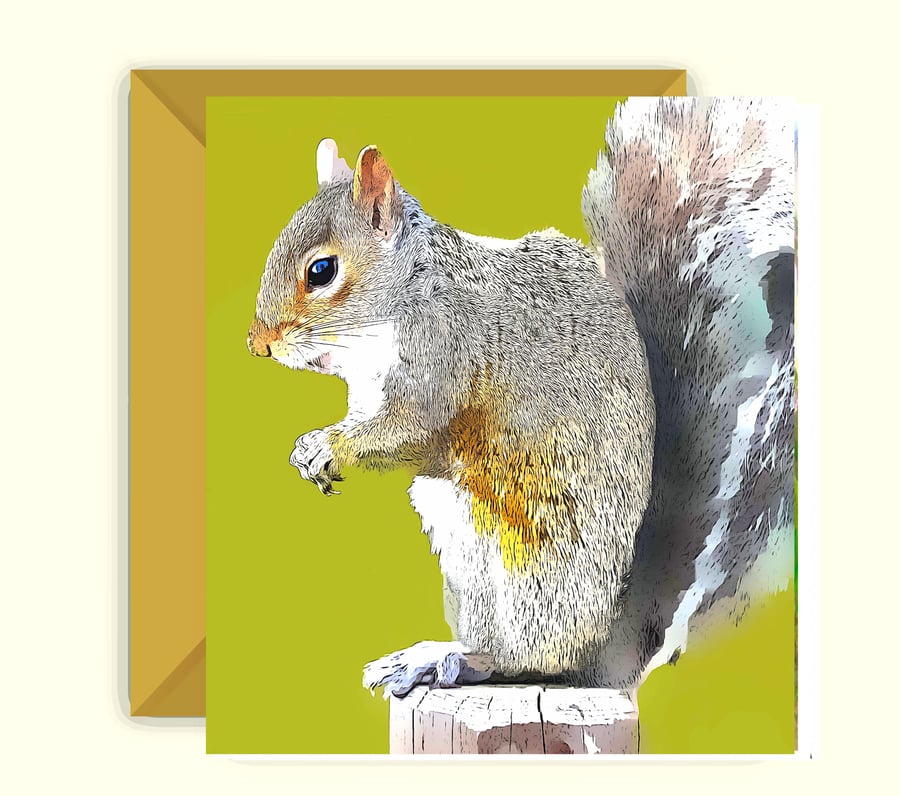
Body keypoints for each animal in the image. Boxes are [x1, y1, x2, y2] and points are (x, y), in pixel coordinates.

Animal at [247, 97, 796, 698]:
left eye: (322, 271)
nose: (258, 343)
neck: (405, 293)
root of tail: (609, 656)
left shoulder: (443, 352)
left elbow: (411, 433)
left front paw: (329, 447)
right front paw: (311, 448)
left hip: (527, 571)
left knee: (530, 659)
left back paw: (456, 658)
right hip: (469, 573)